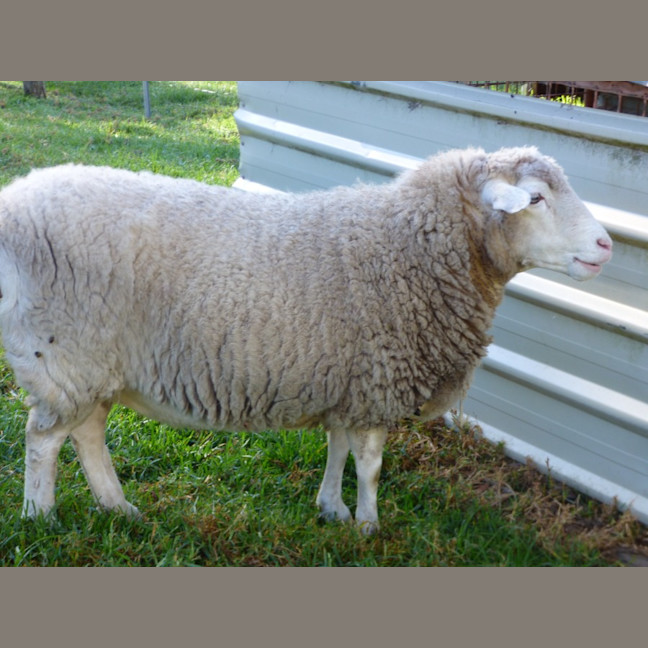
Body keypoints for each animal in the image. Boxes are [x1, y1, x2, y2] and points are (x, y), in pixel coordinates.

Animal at [0, 146, 612, 533]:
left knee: (88, 435)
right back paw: (42, 518)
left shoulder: (349, 379)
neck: (413, 246)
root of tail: (14, 202)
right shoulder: (377, 381)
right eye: (536, 198)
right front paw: (369, 527)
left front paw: (332, 512)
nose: (607, 245)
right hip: (62, 353)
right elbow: (370, 466)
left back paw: (118, 508)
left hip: (93, 364)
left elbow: (337, 449)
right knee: (44, 439)